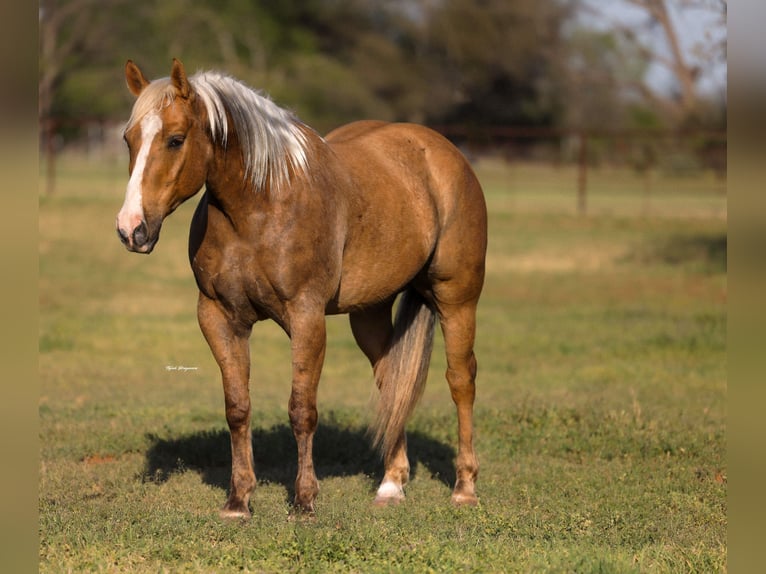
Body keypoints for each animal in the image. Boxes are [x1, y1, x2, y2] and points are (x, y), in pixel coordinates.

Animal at [116, 58, 487, 518]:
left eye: (175, 139)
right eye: (129, 139)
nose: (131, 229)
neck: (259, 206)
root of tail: (442, 151)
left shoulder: (306, 316)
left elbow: (302, 409)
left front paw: (305, 501)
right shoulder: (219, 317)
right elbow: (237, 407)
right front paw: (238, 500)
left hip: (458, 299)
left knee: (461, 379)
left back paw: (464, 487)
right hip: (369, 313)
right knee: (390, 382)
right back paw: (391, 484)